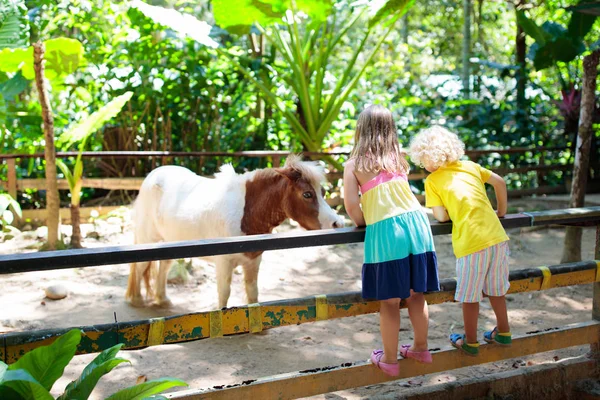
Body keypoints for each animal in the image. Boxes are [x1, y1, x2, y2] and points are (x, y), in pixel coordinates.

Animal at [124, 155, 344, 308]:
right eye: (307, 194)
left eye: (323, 192)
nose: (338, 223)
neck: (246, 213)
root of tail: (152, 176)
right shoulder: (223, 263)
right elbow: (224, 292)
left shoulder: (254, 261)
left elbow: (253, 291)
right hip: (147, 239)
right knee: (140, 266)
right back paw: (136, 300)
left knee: (164, 266)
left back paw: (163, 300)